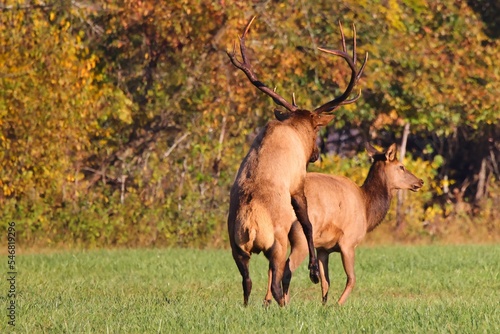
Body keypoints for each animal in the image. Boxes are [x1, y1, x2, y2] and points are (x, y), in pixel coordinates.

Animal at [227, 17, 368, 306]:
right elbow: (307, 224)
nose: (316, 153)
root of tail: (250, 227)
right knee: (277, 281)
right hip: (277, 241)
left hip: (235, 246)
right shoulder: (297, 183)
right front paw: (314, 271)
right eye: (316, 130)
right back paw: (282, 306)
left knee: (246, 283)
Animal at [264, 142, 424, 304]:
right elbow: (351, 279)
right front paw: (338, 304)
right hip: (301, 239)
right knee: (286, 269)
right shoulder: (348, 243)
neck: (367, 211)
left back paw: (267, 302)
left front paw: (324, 304)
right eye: (401, 166)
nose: (420, 181)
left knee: (272, 267)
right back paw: (284, 303)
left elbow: (326, 281)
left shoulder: (323, 248)